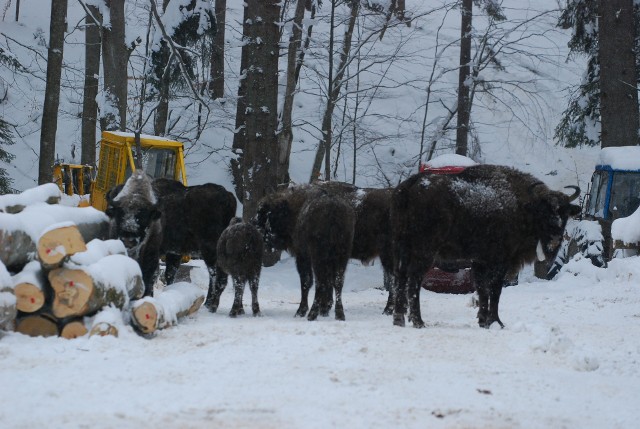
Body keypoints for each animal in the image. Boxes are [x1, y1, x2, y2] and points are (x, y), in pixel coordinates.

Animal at [106, 171, 236, 298]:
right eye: (120, 214)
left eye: (143, 217)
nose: (128, 238)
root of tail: (228, 198)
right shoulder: (173, 253)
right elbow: (169, 274)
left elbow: (153, 274)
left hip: (210, 251)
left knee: (217, 277)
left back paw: (209, 303)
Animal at [254, 189, 356, 320]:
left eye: (265, 214)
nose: (256, 227)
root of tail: (334, 211)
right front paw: (325, 309)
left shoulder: (302, 256)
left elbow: (306, 281)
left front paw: (301, 311)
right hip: (341, 256)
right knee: (338, 282)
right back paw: (339, 314)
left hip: (318, 257)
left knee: (320, 282)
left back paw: (312, 314)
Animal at [390, 164, 580, 328]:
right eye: (543, 211)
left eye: (565, 212)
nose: (555, 238)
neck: (522, 206)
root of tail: (408, 187)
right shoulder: (500, 261)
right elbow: (494, 290)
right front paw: (496, 322)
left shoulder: (479, 261)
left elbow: (482, 290)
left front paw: (483, 321)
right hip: (425, 252)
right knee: (414, 280)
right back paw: (418, 322)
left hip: (403, 249)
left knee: (401, 277)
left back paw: (399, 319)